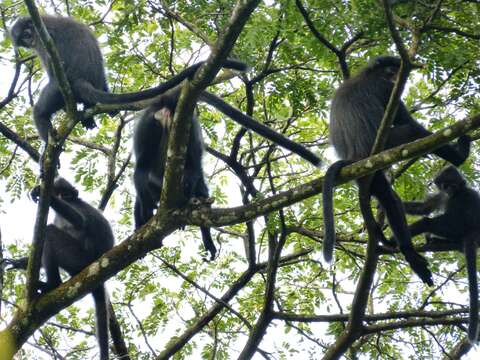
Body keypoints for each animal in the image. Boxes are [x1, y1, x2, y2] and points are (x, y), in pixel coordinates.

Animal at [5, 178, 114, 360]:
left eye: (66, 194)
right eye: (59, 193)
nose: (61, 198)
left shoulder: (75, 205)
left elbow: (79, 221)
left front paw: (46, 196)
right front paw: (18, 262)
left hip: (78, 258)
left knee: (50, 232)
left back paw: (52, 284)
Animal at [10, 15, 248, 142]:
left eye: (27, 33)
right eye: (22, 38)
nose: (28, 40)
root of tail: (81, 79)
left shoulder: (44, 38)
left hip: (60, 90)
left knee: (41, 110)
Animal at [322, 56, 468, 286]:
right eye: (391, 72)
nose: (395, 78)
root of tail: (356, 157)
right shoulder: (386, 89)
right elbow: (407, 122)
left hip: (367, 176)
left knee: (389, 198)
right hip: (387, 146)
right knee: (411, 131)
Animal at [402, 166, 480, 344]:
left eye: (453, 185)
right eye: (445, 185)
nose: (449, 189)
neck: (454, 195)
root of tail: (474, 234)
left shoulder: (464, 197)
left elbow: (452, 218)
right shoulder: (442, 196)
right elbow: (425, 208)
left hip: (461, 229)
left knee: (432, 222)